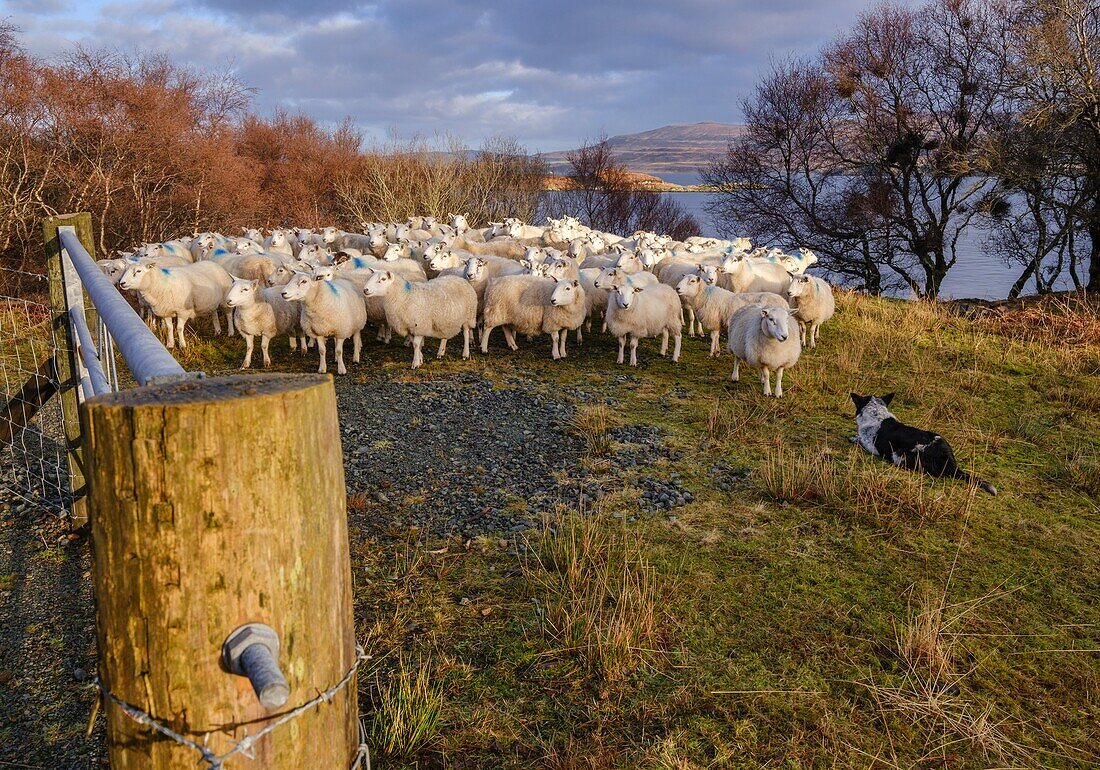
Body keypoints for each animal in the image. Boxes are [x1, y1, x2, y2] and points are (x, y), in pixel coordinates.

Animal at [849, 393, 998, 497]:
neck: (876, 413)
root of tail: (950, 462)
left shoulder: (870, 445)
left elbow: (860, 439)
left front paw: (854, 438)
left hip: (898, 454)